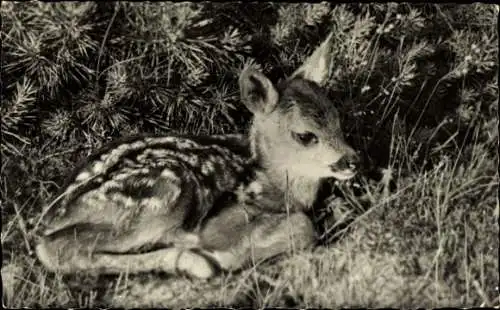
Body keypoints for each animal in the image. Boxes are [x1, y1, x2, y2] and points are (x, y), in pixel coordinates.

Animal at [35, 32, 362, 280]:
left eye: (338, 121)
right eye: (305, 136)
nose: (352, 161)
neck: (272, 181)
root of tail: (49, 217)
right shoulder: (225, 216)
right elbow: (304, 226)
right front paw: (230, 253)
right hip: (166, 188)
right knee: (59, 251)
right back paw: (196, 260)